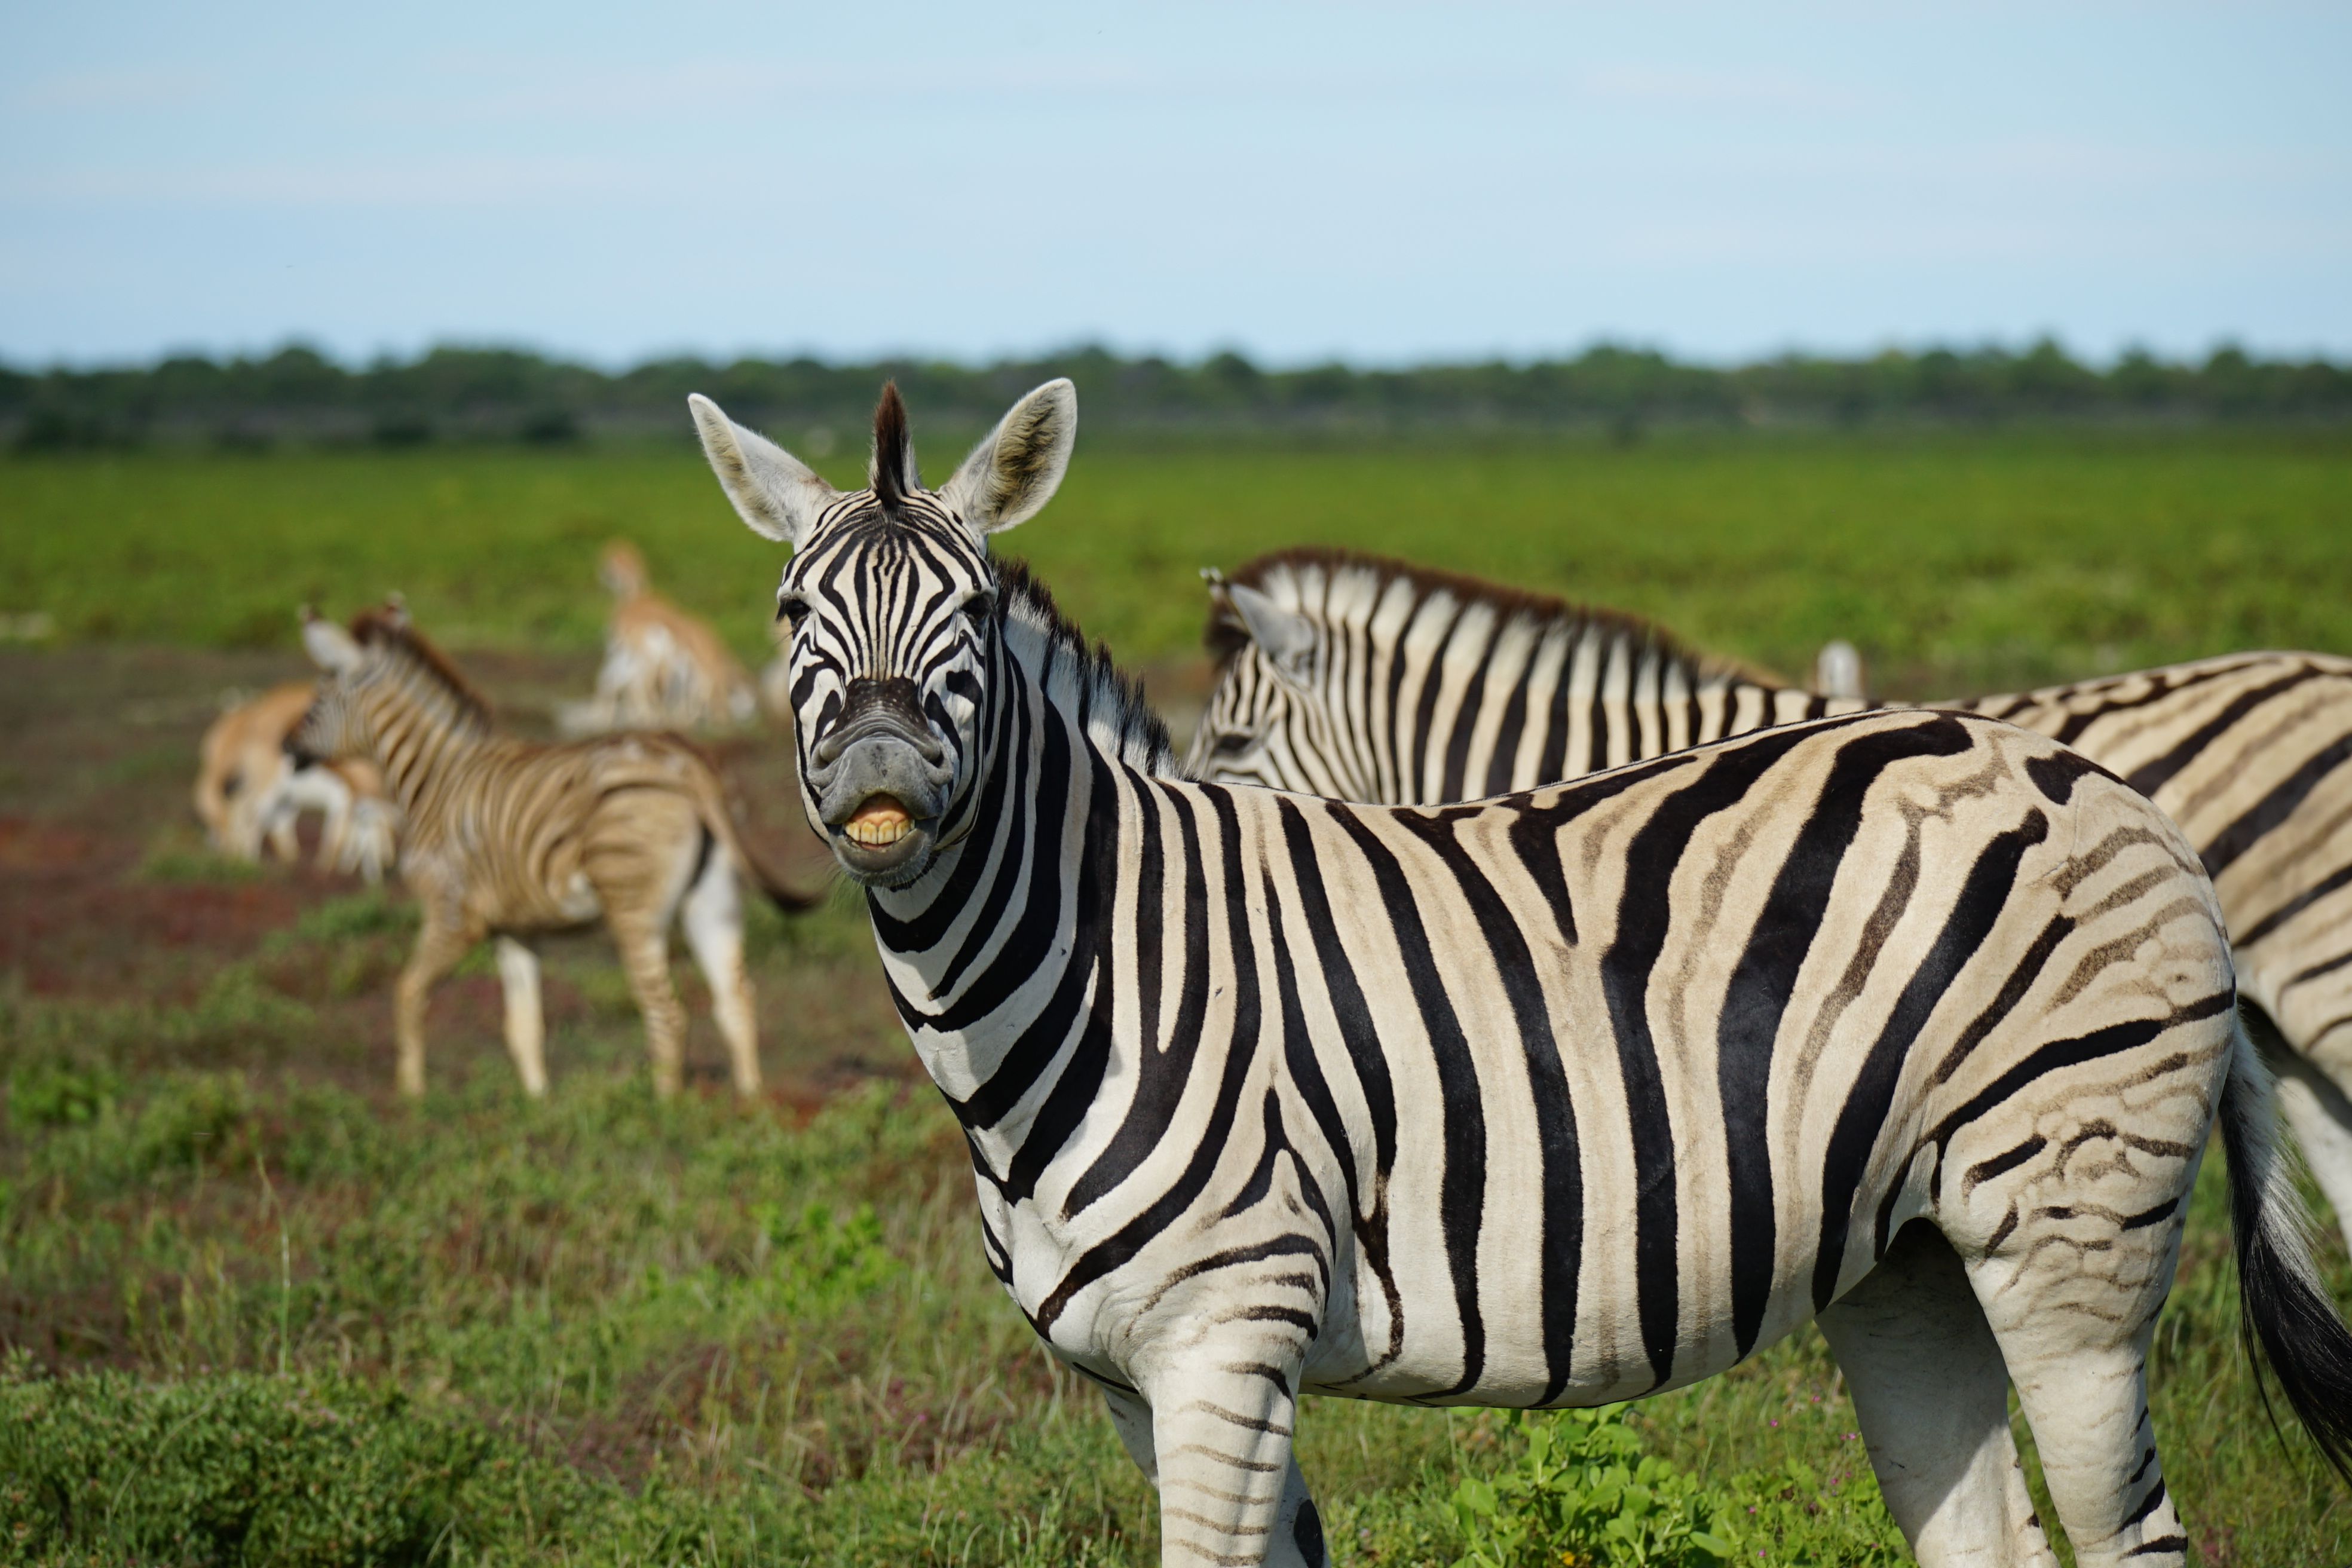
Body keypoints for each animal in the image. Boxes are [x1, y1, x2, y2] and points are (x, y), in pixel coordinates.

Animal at [291, 602, 818, 1099]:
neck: (438, 777)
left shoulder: (453, 912)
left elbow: (408, 994)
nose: (289, 749)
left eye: (317, 700)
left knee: (667, 1013)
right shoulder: (515, 929)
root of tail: (688, 762)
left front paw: (412, 1096)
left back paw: (664, 1110)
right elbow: (523, 1026)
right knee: (736, 1000)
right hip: (713, 900)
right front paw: (537, 1102)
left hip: (634, 908)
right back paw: (750, 1103)